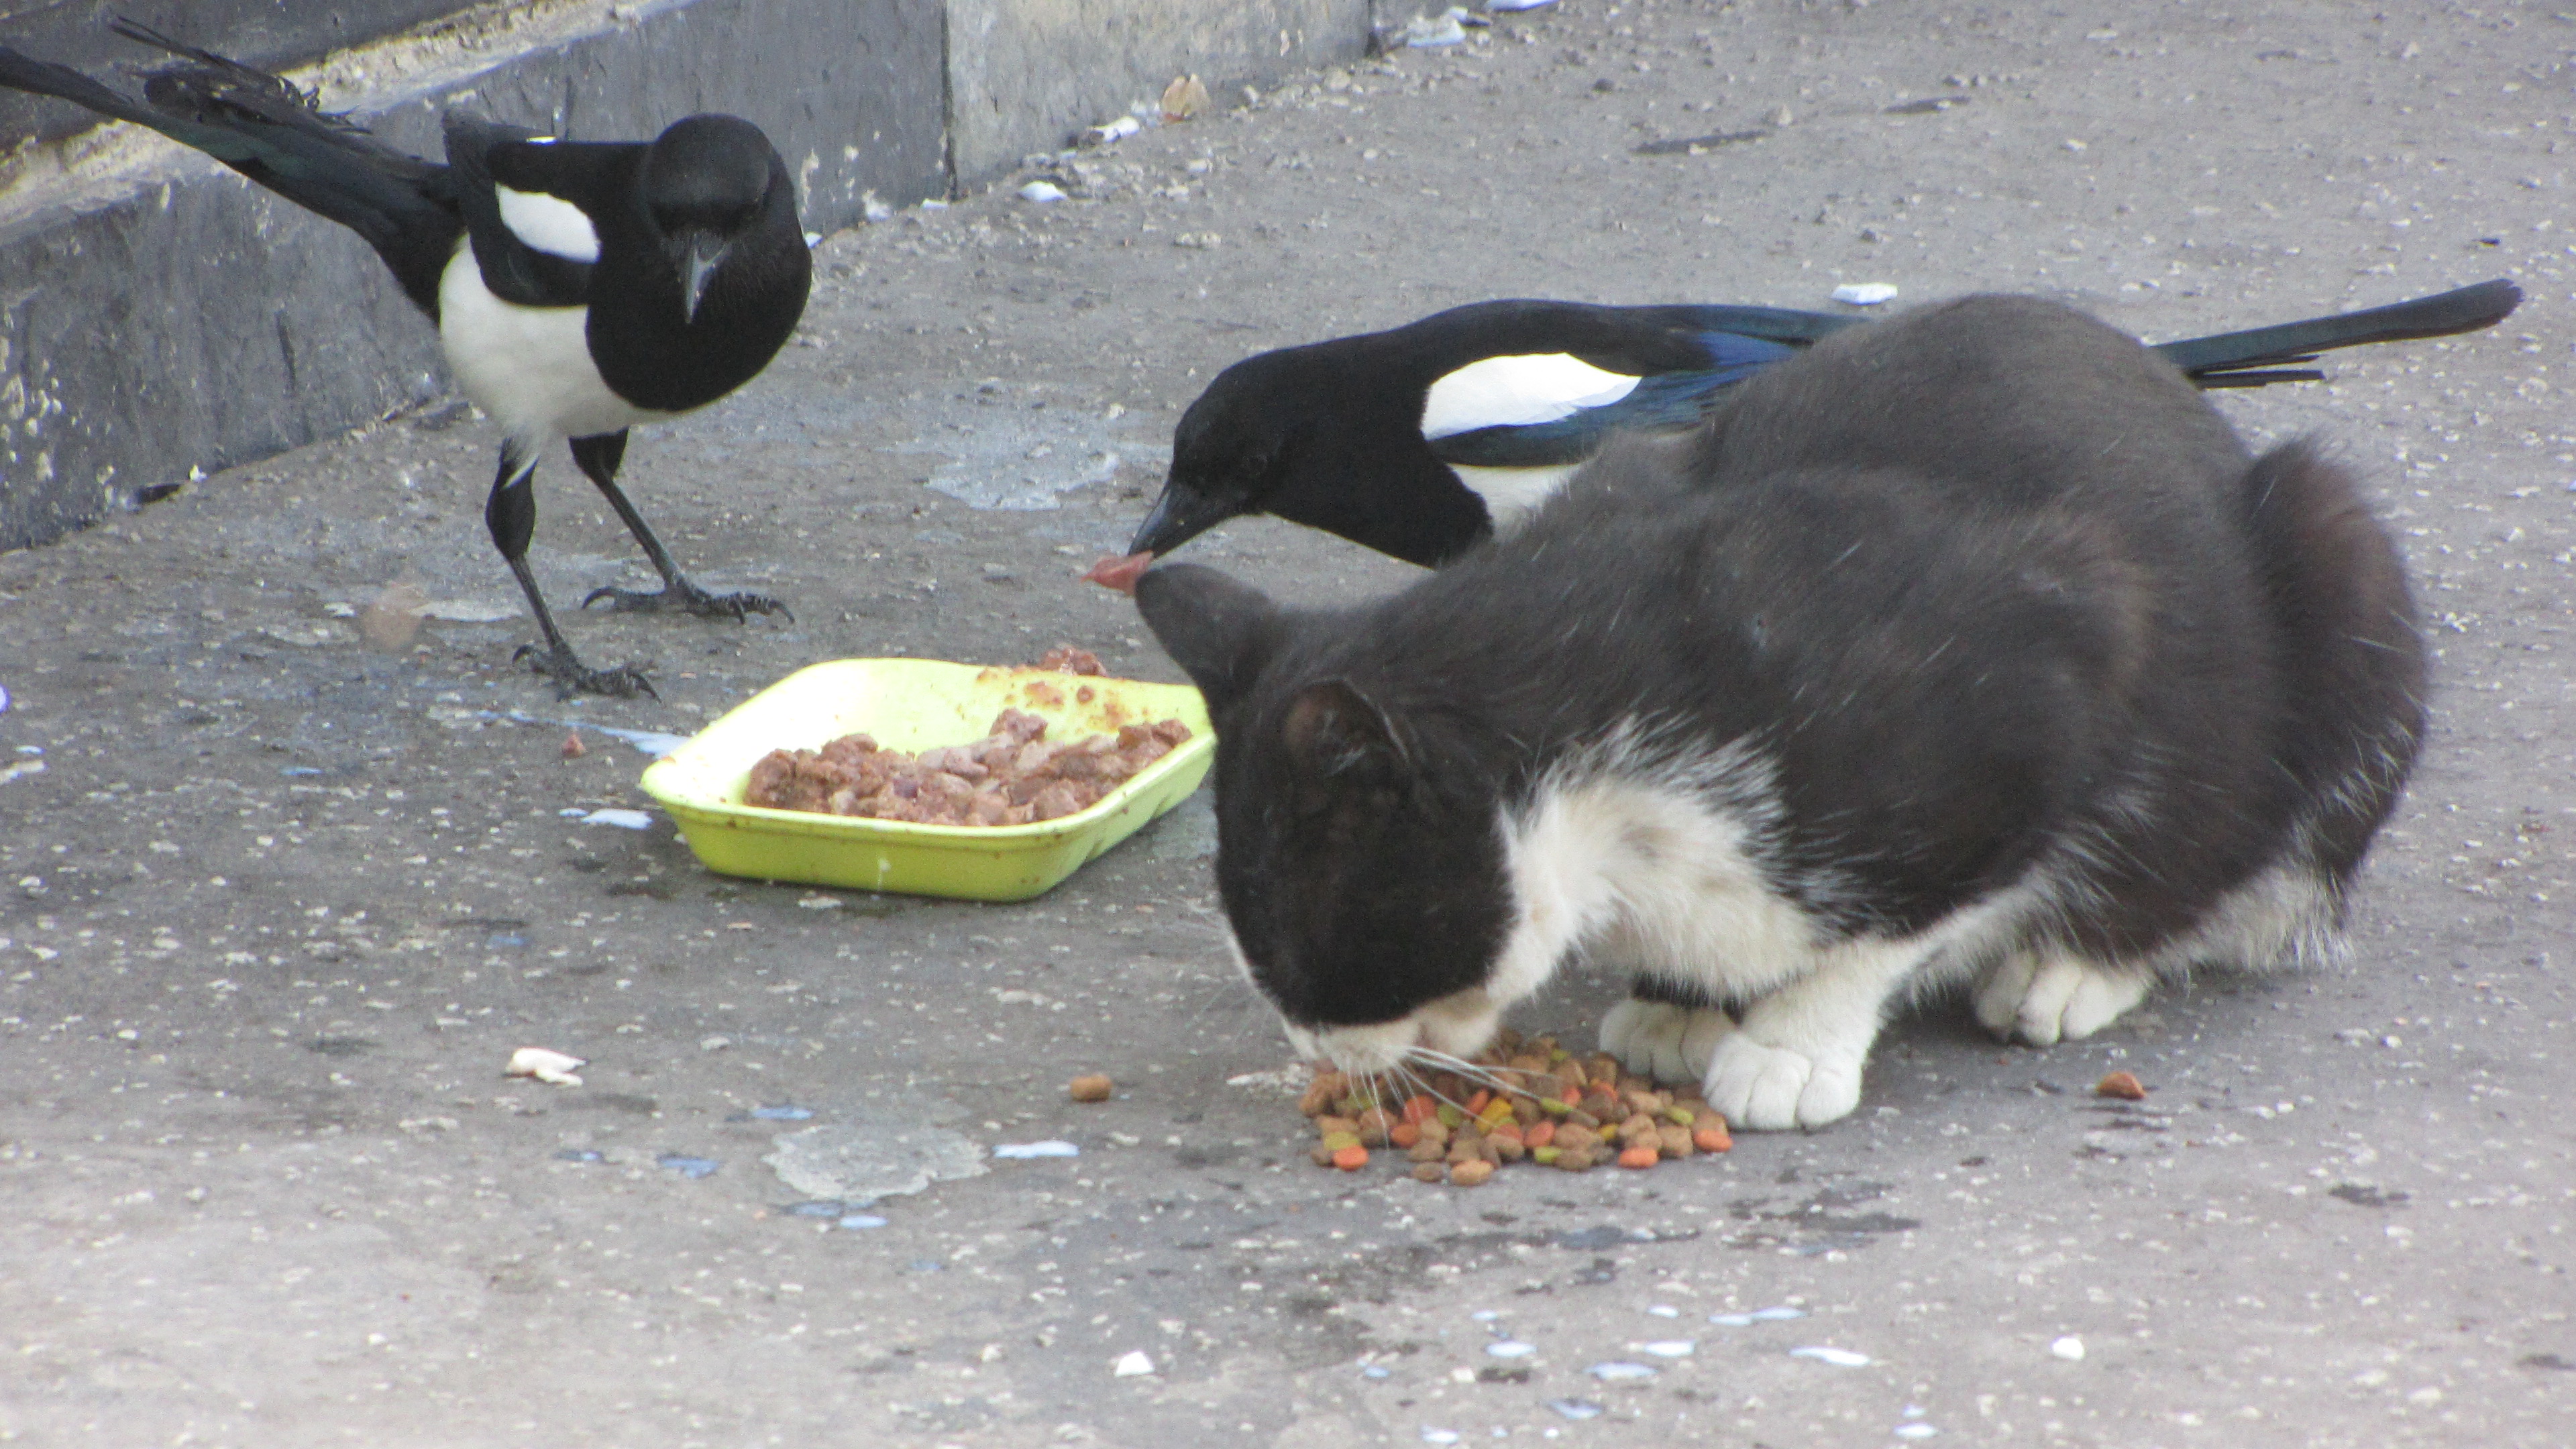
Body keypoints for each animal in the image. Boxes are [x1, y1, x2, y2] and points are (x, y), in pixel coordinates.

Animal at [1134, 295, 2426, 1131]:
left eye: (1304, 946)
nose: (1308, 1048)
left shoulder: (2036, 683)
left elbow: (1903, 912)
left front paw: (1794, 1042)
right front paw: (1681, 1001)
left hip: (2334, 556)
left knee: (2240, 843)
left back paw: (2079, 966)